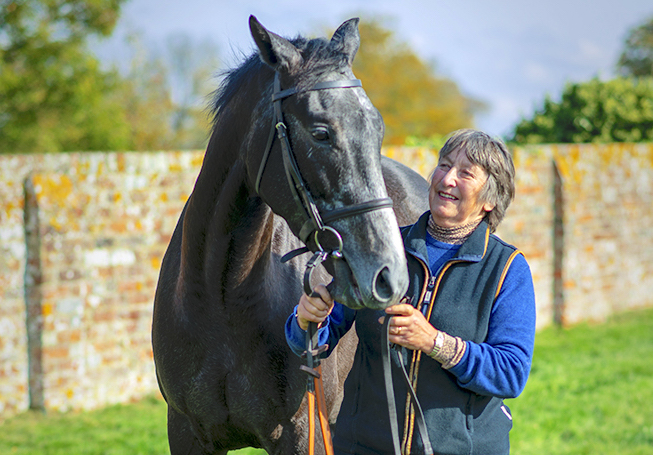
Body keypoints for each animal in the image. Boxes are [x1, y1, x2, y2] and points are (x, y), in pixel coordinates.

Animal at [151, 15, 430, 455]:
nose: (389, 274)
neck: (220, 299)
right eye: (320, 133)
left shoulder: (302, 433)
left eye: (377, 128)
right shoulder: (186, 433)